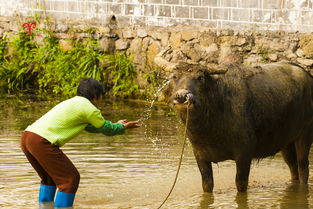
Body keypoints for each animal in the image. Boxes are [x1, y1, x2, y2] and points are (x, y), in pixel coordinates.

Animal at [161, 61, 312, 192]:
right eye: (174, 77)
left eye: (200, 77)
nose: (181, 96)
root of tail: (307, 75)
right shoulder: (200, 156)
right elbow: (207, 185)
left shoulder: (244, 154)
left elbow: (240, 184)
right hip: (286, 142)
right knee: (293, 167)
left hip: (304, 135)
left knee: (303, 168)